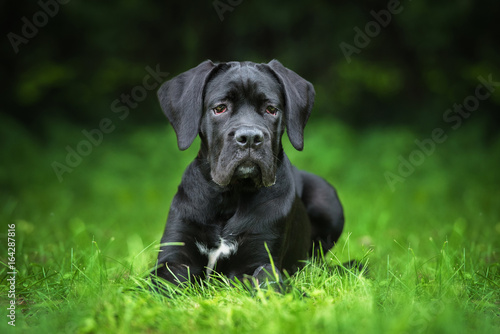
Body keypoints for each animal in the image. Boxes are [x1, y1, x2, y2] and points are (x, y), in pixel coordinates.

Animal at [150, 60, 342, 288]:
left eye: (271, 109)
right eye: (220, 108)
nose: (250, 137)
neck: (230, 197)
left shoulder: (259, 259)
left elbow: (266, 280)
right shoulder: (175, 258)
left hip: (327, 196)